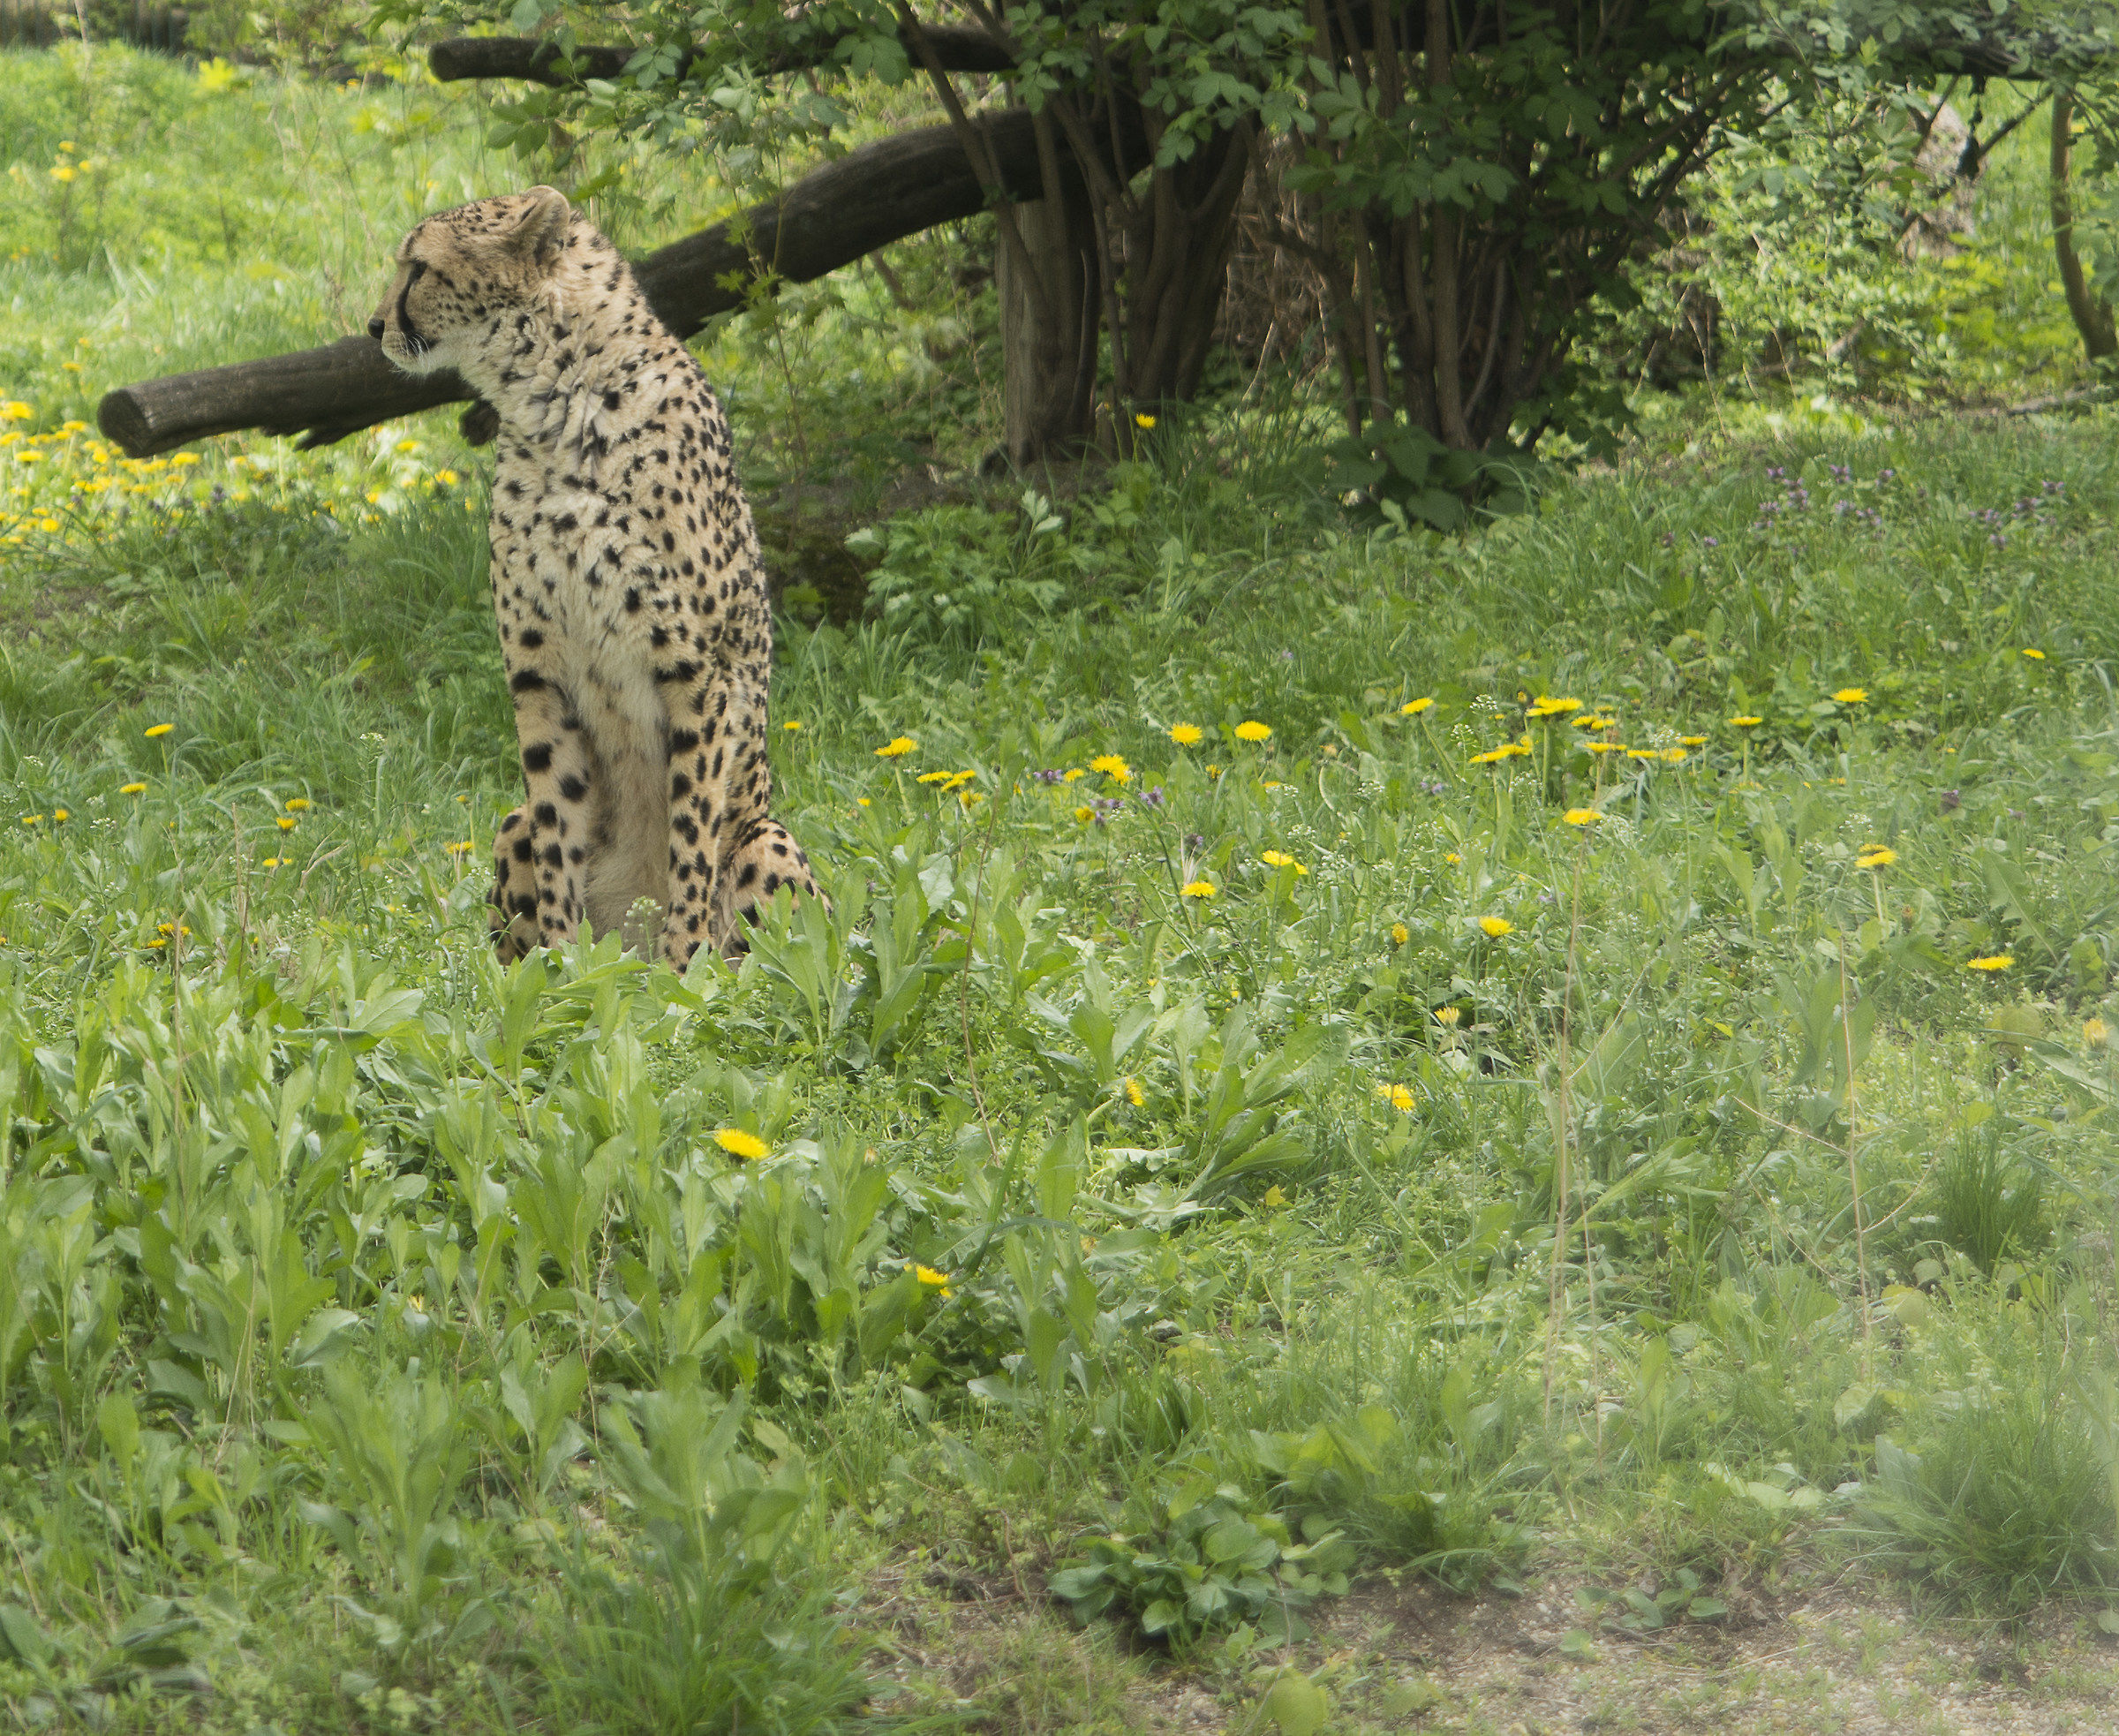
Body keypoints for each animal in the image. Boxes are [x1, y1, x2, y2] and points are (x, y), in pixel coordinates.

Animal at [368, 185, 820, 971]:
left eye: (418, 268)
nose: (373, 327)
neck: (558, 406)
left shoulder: (699, 675)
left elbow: (690, 839)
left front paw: (684, 970)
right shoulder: (538, 674)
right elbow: (559, 829)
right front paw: (562, 969)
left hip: (767, 839)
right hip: (510, 823)